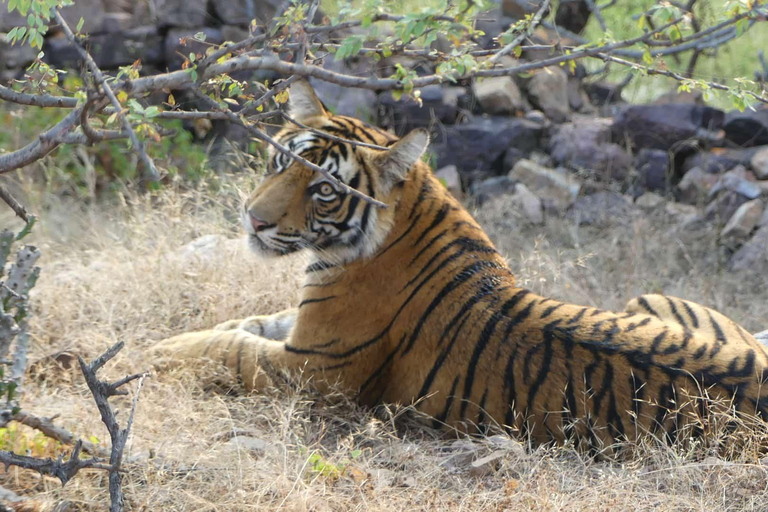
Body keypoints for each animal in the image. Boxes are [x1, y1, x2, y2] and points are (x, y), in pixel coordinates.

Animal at [150, 78, 768, 450]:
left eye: (324, 189)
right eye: (281, 161)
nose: (252, 220)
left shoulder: (312, 368)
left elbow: (229, 350)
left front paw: (159, 351)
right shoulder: (302, 325)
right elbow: (247, 324)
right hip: (647, 298)